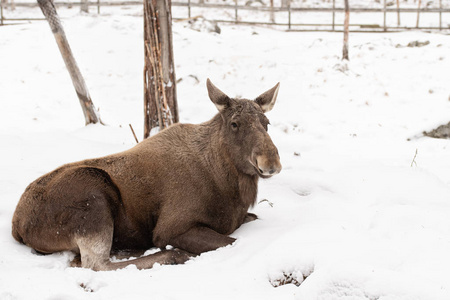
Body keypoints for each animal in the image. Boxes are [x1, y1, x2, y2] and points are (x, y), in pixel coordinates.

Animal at [12, 79, 282, 272]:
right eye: (234, 124)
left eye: (267, 122)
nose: (271, 162)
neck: (228, 186)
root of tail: (17, 225)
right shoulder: (170, 228)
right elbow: (231, 241)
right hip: (93, 195)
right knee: (95, 264)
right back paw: (172, 255)